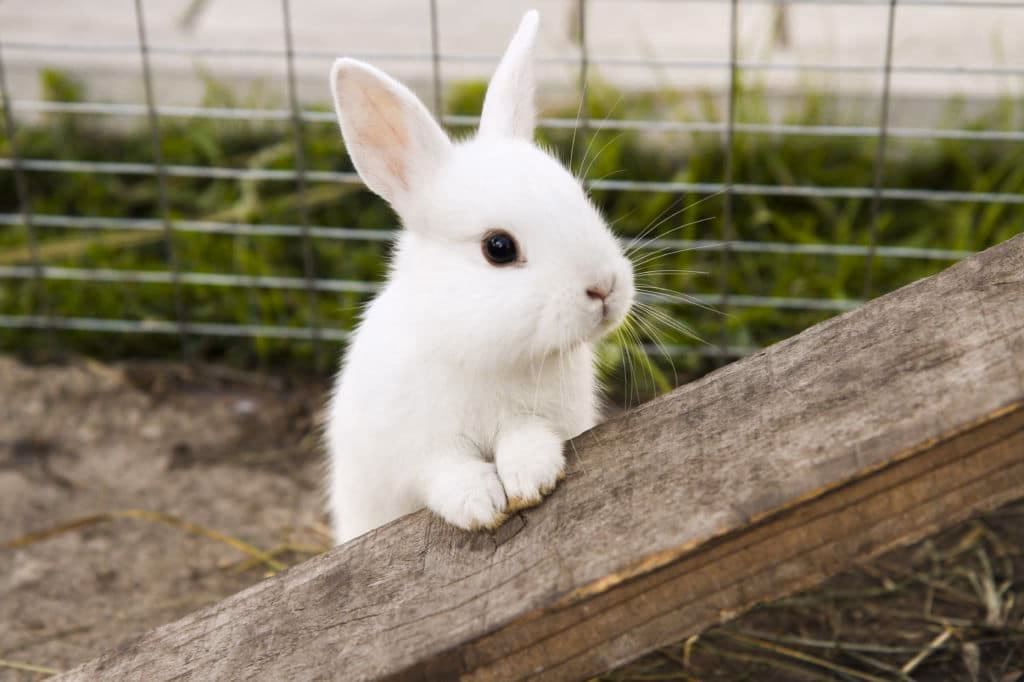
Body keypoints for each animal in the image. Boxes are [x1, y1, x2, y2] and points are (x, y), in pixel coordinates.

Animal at [325, 9, 635, 544]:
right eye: (499, 247)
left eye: (580, 196)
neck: (484, 353)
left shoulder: (543, 417)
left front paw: (530, 477)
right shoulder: (417, 450)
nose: (604, 288)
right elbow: (446, 471)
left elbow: (527, 438)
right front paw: (480, 504)